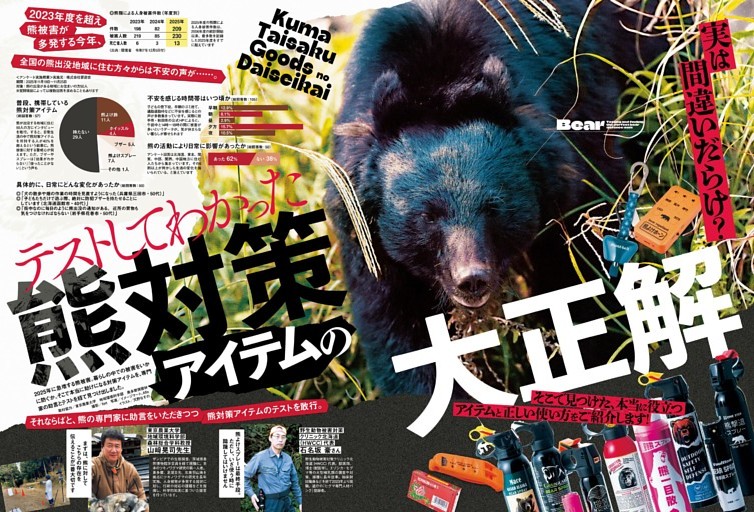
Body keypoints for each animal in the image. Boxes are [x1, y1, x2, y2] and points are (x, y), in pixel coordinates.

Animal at [325, 0, 661, 395]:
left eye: (494, 209)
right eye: (427, 216)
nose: (472, 279)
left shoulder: (573, 150)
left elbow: (584, 269)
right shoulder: (363, 229)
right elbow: (396, 322)